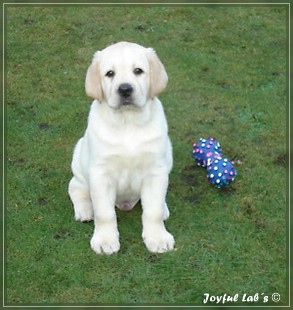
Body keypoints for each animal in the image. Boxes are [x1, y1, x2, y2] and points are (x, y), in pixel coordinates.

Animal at [68, 41, 173, 254]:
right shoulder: (100, 174)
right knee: (75, 187)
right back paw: (84, 209)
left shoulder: (156, 171)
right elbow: (104, 213)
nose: (125, 89)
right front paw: (105, 240)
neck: (128, 122)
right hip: (80, 163)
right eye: (110, 73)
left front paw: (157, 238)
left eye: (138, 71)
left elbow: (154, 211)